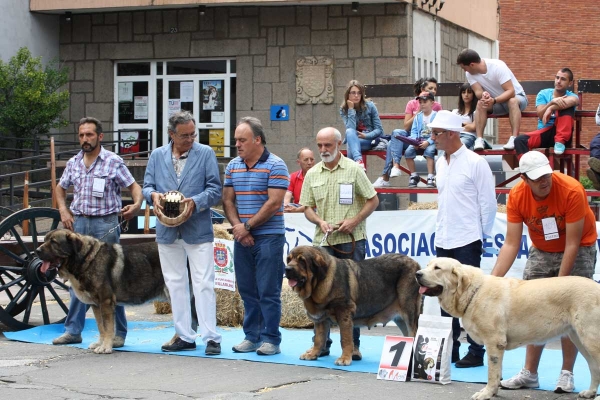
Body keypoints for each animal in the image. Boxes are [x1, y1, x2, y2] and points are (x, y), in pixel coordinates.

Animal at [37, 230, 166, 354]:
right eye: (45, 240)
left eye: (53, 242)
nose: (36, 251)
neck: (86, 259)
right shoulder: (96, 305)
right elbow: (101, 326)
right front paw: (100, 343)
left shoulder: (105, 302)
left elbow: (108, 327)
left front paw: (105, 347)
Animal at [288, 244, 422, 366]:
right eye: (289, 259)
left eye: (302, 261)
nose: (287, 269)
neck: (319, 282)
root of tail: (416, 264)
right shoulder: (321, 319)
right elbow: (318, 339)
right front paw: (313, 354)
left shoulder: (344, 313)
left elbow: (346, 339)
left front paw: (345, 359)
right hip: (400, 319)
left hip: (409, 311)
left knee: (413, 333)